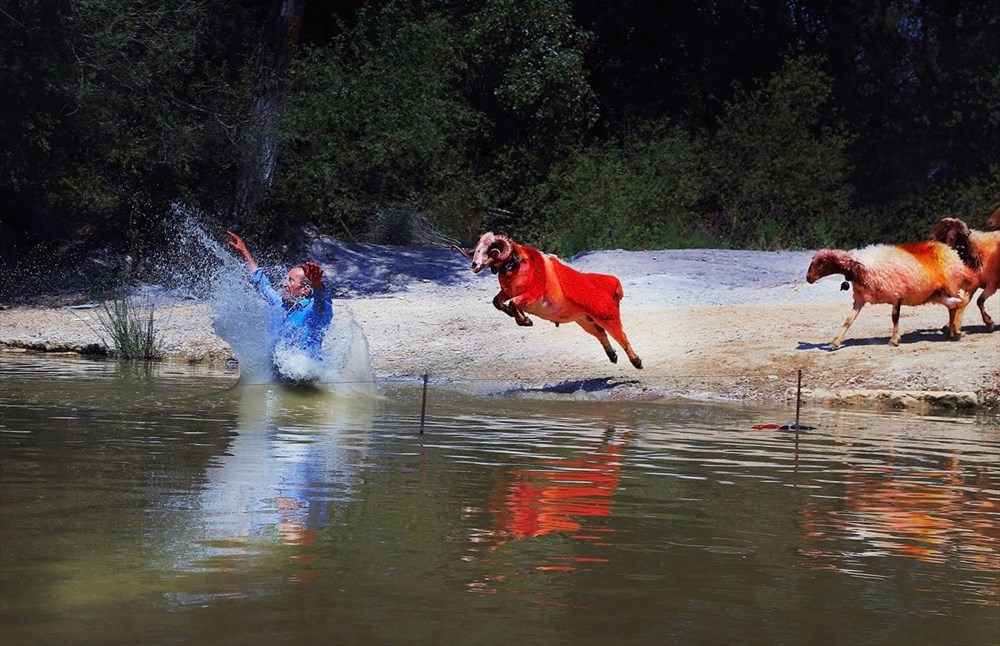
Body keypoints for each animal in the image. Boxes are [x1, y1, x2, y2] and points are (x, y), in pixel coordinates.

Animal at [452, 234, 640, 370]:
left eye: (488, 251)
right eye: (477, 249)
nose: (474, 265)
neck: (519, 266)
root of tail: (614, 284)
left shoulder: (531, 295)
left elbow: (513, 304)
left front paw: (526, 321)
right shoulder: (506, 293)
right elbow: (497, 302)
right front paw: (522, 318)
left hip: (607, 316)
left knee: (621, 336)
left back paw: (637, 362)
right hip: (585, 320)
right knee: (601, 334)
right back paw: (613, 356)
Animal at [804, 240, 976, 350]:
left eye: (823, 261)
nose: (808, 278)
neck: (861, 268)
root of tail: (952, 253)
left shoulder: (896, 294)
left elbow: (894, 318)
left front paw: (893, 340)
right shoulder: (860, 299)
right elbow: (848, 320)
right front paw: (835, 342)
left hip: (951, 286)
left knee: (955, 308)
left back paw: (954, 333)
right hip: (936, 293)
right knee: (953, 305)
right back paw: (950, 332)